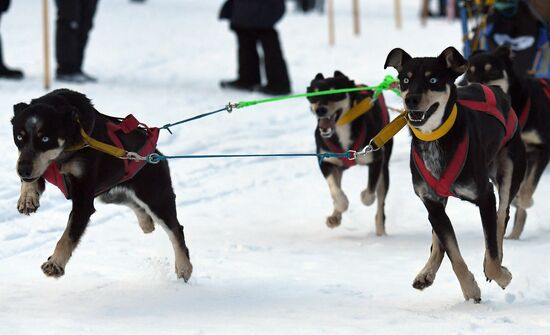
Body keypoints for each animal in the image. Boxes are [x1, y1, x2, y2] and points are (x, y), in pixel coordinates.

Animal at [10, 88, 194, 280]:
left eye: (45, 138)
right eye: (19, 137)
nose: (22, 170)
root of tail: (156, 155)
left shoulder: (83, 199)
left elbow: (68, 236)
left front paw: (55, 263)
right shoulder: (37, 168)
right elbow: (31, 180)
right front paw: (27, 198)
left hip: (155, 198)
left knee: (175, 229)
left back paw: (184, 266)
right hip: (108, 194)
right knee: (135, 204)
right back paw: (146, 222)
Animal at [308, 71, 394, 235]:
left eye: (334, 93)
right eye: (314, 95)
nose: (320, 110)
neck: (341, 129)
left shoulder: (376, 160)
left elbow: (369, 195)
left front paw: (363, 195)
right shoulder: (326, 161)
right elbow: (336, 192)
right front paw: (338, 210)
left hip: (384, 168)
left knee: (380, 204)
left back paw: (381, 233)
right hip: (338, 167)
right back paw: (335, 216)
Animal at [386, 46, 528, 304]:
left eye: (433, 80)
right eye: (405, 80)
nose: (411, 100)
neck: (435, 138)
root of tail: (492, 90)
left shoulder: (485, 197)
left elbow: (492, 250)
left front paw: (501, 274)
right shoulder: (431, 201)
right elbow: (451, 252)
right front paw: (470, 290)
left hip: (510, 167)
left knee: (501, 217)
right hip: (437, 204)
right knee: (438, 238)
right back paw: (426, 273)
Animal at [466, 46, 550, 240]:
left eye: (491, 70)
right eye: (469, 72)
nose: (474, 87)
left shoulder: (543, 148)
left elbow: (528, 186)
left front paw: (525, 200)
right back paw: (514, 235)